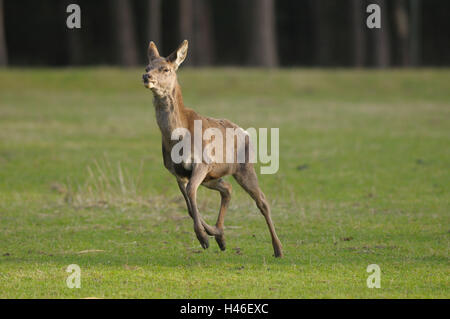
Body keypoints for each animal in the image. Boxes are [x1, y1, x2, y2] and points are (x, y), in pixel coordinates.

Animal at [142, 41, 284, 258]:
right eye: (147, 67)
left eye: (165, 69)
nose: (146, 77)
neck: (176, 137)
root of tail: (245, 132)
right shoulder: (176, 172)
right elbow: (189, 203)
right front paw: (211, 235)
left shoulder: (202, 162)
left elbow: (191, 193)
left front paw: (203, 237)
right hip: (213, 176)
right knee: (227, 189)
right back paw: (220, 235)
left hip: (243, 167)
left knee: (262, 201)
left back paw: (278, 249)